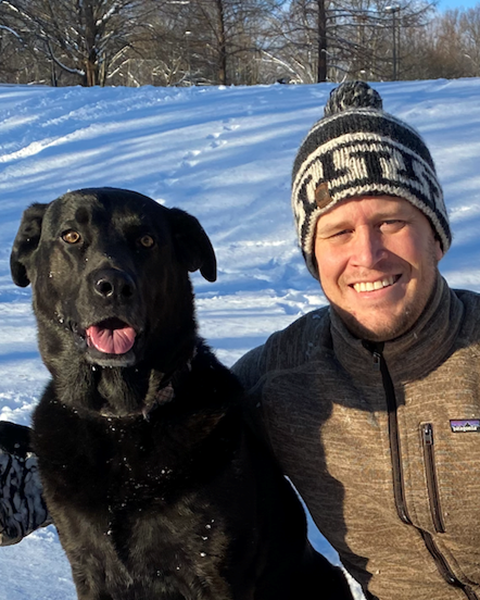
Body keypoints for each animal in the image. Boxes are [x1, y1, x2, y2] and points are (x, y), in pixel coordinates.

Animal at [8, 189, 352, 600]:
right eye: (71, 236)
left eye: (146, 241)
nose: (113, 286)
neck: (122, 419)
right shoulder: (88, 569)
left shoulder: (213, 571)